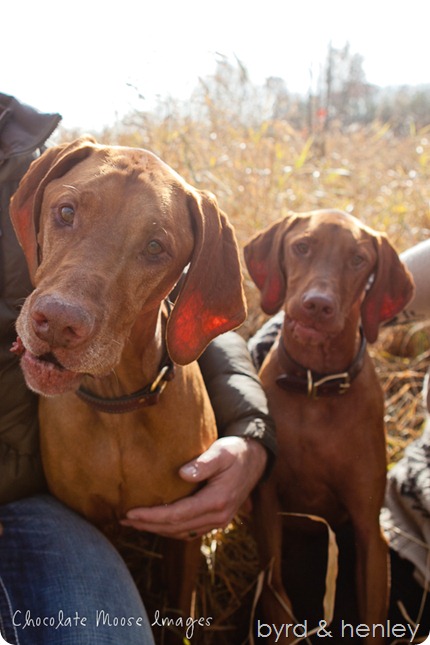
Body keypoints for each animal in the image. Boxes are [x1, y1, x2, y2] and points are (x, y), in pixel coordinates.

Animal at [244, 209, 414, 640]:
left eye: (358, 260)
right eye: (302, 246)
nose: (317, 306)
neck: (315, 388)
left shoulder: (369, 531)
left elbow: (372, 623)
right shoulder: (268, 509)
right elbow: (278, 607)